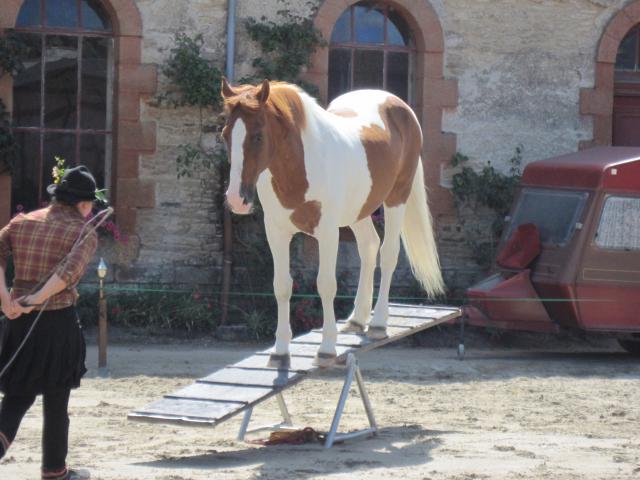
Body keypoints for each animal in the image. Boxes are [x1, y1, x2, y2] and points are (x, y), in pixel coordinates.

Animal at [222, 79, 442, 368]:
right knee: (369, 247)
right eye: (225, 135)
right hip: (358, 210)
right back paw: (357, 319)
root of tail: (397, 104)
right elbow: (281, 286)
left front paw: (326, 348)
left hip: (397, 198)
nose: (236, 199)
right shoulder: (276, 232)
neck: (300, 169)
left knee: (388, 254)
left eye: (257, 135)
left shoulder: (327, 233)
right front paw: (280, 352)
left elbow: (326, 285)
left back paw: (378, 323)